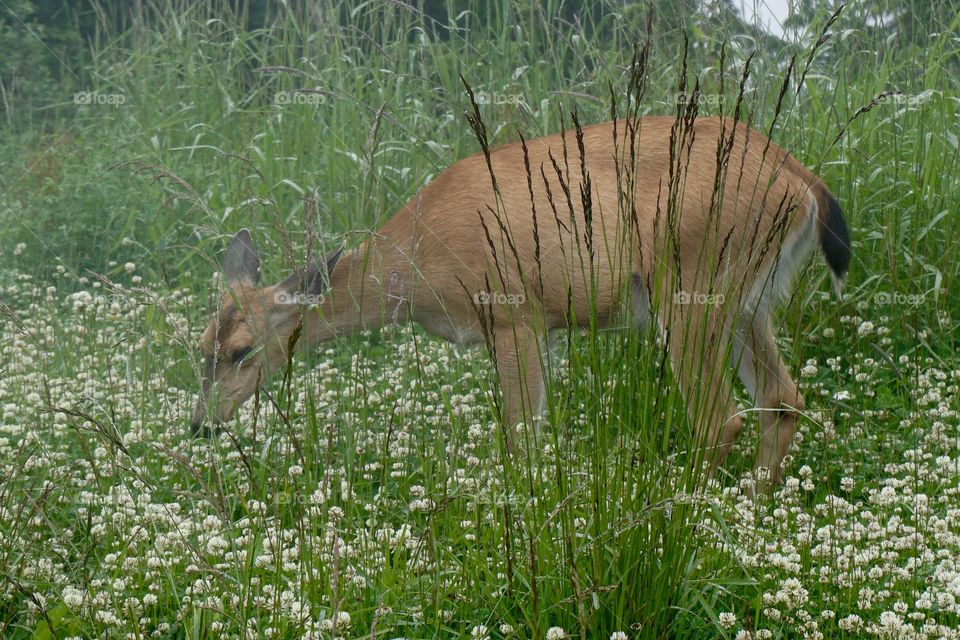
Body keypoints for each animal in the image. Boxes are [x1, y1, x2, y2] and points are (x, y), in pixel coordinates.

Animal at [189, 116, 848, 484]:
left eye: (243, 350)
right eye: (200, 346)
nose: (200, 425)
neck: (417, 260)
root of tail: (804, 181)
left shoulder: (514, 315)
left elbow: (522, 438)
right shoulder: (543, 328)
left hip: (691, 289)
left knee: (722, 418)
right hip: (749, 302)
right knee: (783, 398)